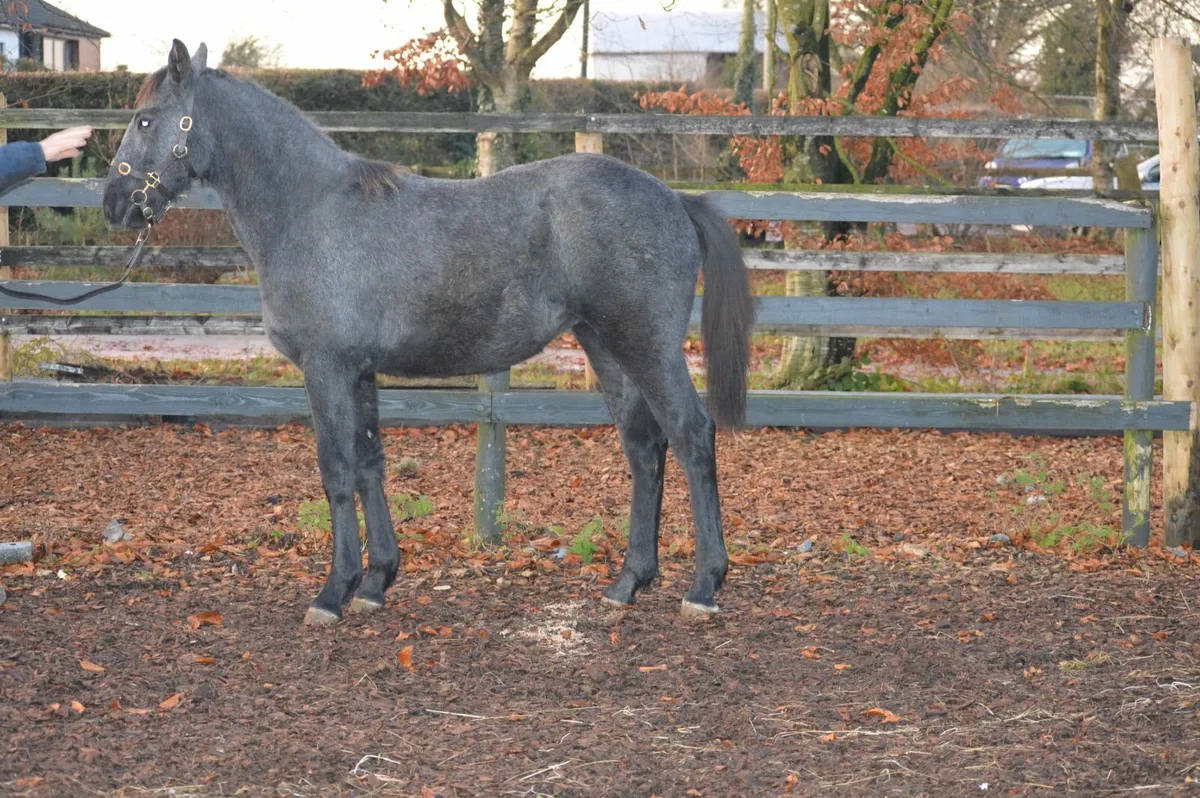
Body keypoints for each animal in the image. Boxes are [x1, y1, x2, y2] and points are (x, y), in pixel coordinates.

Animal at [102, 40, 755, 625]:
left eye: (145, 118)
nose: (114, 204)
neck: (309, 210)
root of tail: (674, 198)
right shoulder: (360, 372)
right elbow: (370, 463)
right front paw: (375, 582)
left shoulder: (326, 368)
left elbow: (336, 470)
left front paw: (332, 593)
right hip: (606, 347)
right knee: (644, 448)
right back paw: (628, 582)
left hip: (646, 346)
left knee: (692, 436)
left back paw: (704, 586)